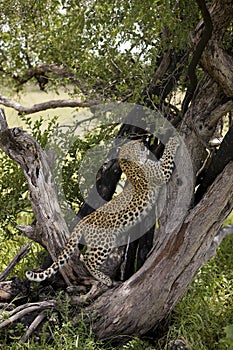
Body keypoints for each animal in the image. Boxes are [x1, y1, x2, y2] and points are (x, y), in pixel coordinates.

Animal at [26, 135, 180, 286]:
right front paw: (174, 139)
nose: (143, 140)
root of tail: (83, 220)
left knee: (85, 257)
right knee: (89, 261)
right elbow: (167, 155)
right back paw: (104, 278)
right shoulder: (161, 172)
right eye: (134, 144)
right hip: (104, 242)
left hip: (95, 243)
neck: (132, 165)